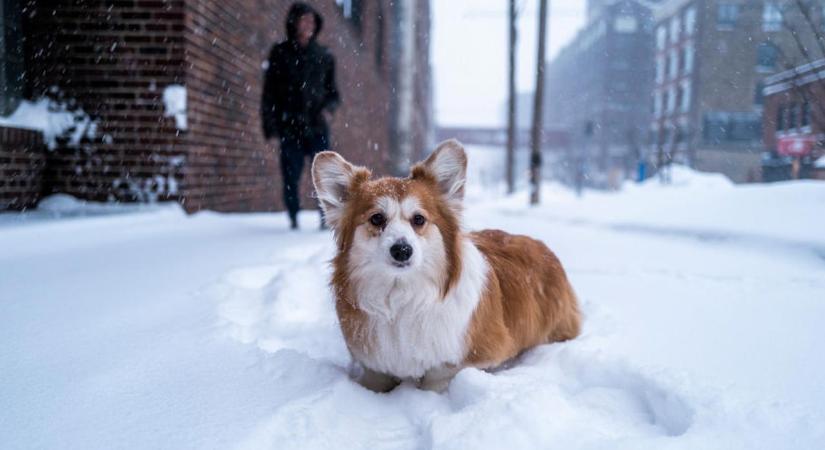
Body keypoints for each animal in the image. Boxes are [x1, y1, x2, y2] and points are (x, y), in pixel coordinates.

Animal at [308, 139, 580, 392]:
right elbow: (375, 378)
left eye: (419, 219)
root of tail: (543, 247)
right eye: (376, 219)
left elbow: (438, 376)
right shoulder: (373, 362)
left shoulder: (474, 355)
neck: (402, 294)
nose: (402, 250)